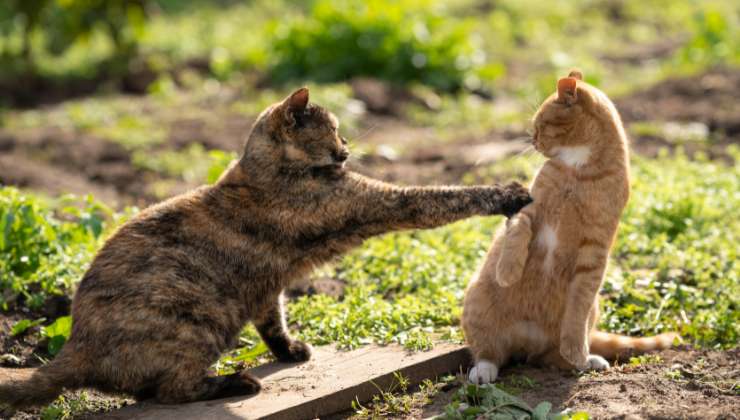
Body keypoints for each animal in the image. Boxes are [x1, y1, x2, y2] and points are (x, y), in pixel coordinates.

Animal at [0, 87, 532, 408]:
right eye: (333, 129)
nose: (346, 148)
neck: (262, 171)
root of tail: (75, 346)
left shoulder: (266, 285)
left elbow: (273, 317)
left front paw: (290, 349)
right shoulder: (380, 201)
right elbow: (445, 197)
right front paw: (509, 192)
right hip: (197, 321)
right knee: (171, 391)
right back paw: (236, 382)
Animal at [466, 72, 680, 384]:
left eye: (541, 125)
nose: (533, 140)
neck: (579, 171)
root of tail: (528, 342)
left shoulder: (594, 251)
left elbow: (577, 309)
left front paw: (576, 349)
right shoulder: (527, 211)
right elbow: (517, 234)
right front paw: (508, 272)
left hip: (591, 311)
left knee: (553, 356)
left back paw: (586, 360)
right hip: (477, 306)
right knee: (490, 353)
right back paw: (484, 370)